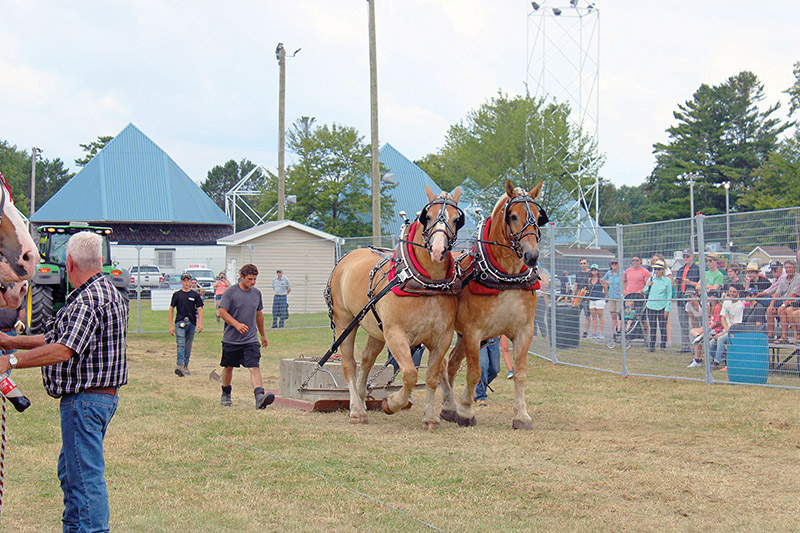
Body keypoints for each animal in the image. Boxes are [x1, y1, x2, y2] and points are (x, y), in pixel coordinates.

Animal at [324, 186, 462, 428]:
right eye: (428, 216)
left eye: (456, 219)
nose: (438, 250)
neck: (425, 284)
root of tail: (345, 258)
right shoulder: (396, 335)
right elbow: (409, 373)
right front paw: (392, 403)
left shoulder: (442, 338)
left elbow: (432, 377)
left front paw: (430, 418)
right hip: (344, 323)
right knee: (349, 364)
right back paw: (356, 410)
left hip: (376, 329)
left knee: (367, 359)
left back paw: (362, 397)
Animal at [440, 181, 548, 430]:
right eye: (513, 216)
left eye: (539, 217)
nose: (531, 256)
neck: (506, 277)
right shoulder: (473, 332)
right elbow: (474, 372)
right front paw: (466, 412)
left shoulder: (524, 331)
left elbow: (520, 373)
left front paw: (522, 416)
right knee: (441, 364)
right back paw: (450, 405)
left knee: (451, 364)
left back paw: (449, 407)